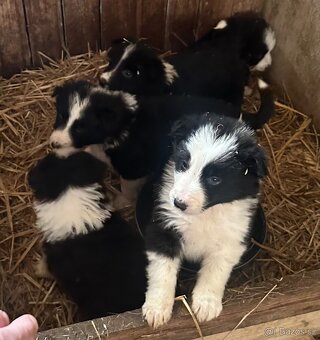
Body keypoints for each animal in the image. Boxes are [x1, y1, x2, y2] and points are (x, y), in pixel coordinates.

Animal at [142, 113, 268, 326]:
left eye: (214, 180)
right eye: (184, 165)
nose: (178, 203)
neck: (204, 215)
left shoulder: (232, 240)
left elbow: (215, 272)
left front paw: (206, 304)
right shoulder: (164, 228)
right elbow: (162, 271)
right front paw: (157, 308)